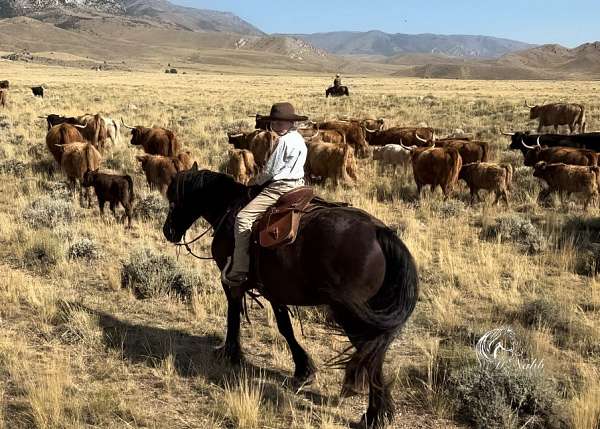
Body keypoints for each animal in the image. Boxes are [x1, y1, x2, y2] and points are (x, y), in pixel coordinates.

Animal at [162, 165, 420, 428]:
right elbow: (285, 327)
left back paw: (374, 414)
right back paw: (379, 410)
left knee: (370, 357)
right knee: (374, 354)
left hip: (352, 315)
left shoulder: (232, 282)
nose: (168, 231)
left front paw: (231, 353)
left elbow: (233, 316)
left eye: (173, 200)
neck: (228, 208)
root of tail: (379, 232)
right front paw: (303, 369)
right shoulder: (274, 289)